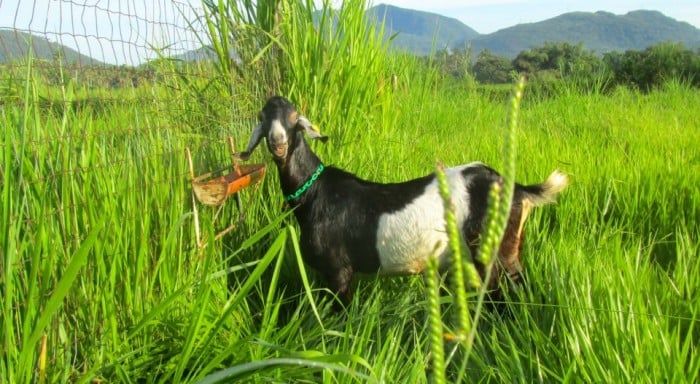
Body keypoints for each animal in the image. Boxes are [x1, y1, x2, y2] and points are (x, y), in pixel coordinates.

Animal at [238, 97, 568, 306]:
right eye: (262, 118)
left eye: (295, 119)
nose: (278, 144)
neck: (315, 192)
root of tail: (516, 188)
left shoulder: (339, 270)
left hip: (493, 253)